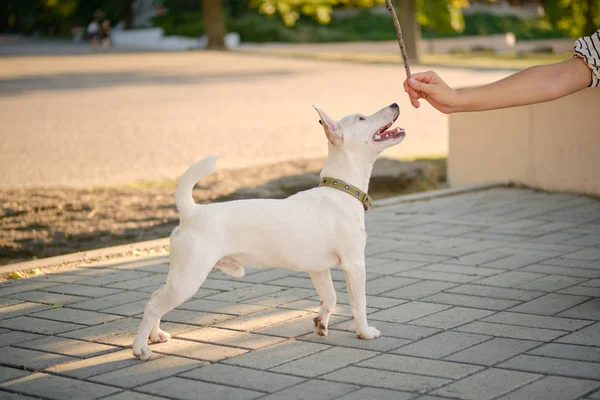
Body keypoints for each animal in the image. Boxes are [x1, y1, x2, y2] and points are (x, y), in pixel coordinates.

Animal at [133, 103, 406, 360]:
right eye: (361, 118)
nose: (395, 103)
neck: (341, 189)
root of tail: (191, 212)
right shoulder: (354, 264)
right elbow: (359, 303)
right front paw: (365, 332)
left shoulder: (318, 269)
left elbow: (330, 298)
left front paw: (320, 324)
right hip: (189, 278)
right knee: (154, 306)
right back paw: (140, 349)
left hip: (180, 276)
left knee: (154, 297)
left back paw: (156, 336)